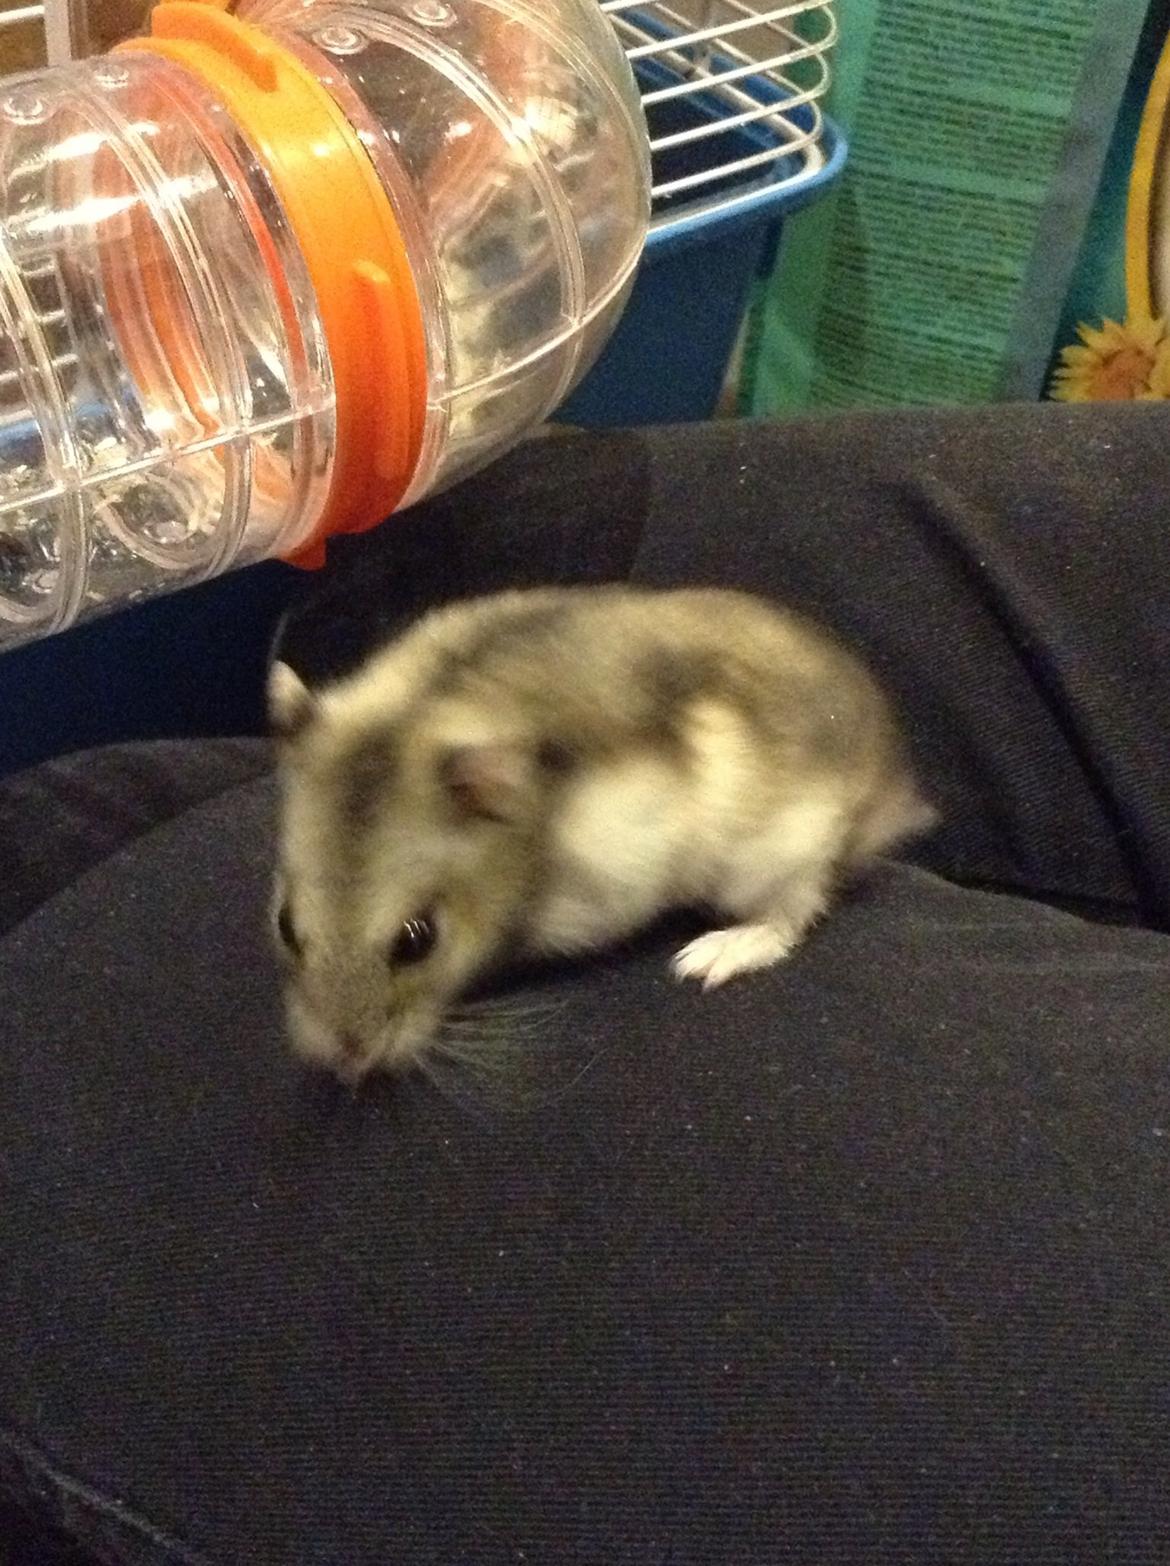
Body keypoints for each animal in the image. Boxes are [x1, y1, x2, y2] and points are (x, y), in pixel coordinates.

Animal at [269, 585, 934, 1082]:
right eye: (284, 925)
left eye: (418, 940)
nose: (343, 1066)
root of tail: (888, 783)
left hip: (779, 854)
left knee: (792, 913)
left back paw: (707, 958)